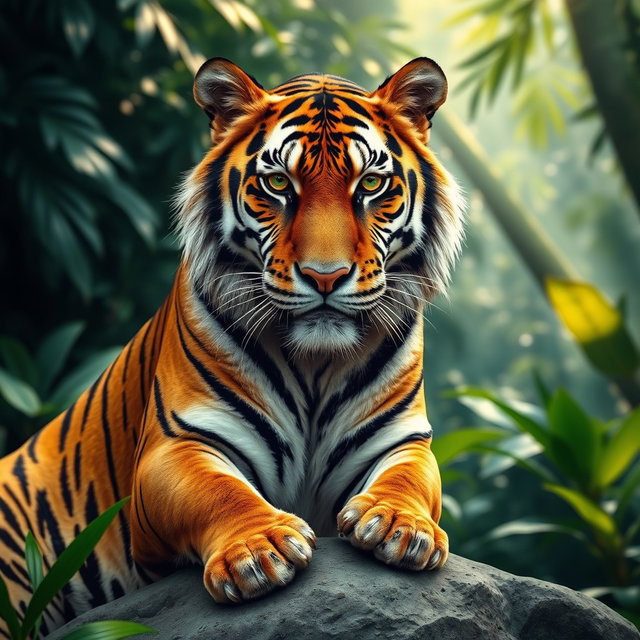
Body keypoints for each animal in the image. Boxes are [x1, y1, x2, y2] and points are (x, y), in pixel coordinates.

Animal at [0, 56, 464, 635]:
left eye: (372, 184)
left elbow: (410, 480)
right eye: (278, 183)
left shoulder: (398, 439)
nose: (325, 276)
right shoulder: (177, 443)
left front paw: (400, 527)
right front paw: (260, 551)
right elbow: (217, 491)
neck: (316, 364)